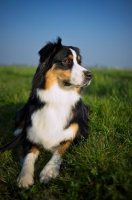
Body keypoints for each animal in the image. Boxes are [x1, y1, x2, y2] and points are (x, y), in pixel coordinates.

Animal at [0, 38, 92, 189]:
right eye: (67, 61)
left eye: (79, 62)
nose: (90, 75)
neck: (58, 98)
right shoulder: (31, 137)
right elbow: (28, 156)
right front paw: (24, 177)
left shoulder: (77, 136)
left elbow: (60, 151)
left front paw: (48, 171)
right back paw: (18, 131)